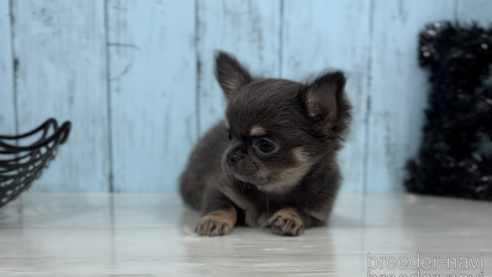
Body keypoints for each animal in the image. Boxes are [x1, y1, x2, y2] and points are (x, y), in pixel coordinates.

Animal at [179, 51, 352, 235]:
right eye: (229, 136)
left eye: (265, 145)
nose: (230, 156)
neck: (274, 190)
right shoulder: (218, 187)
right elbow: (222, 206)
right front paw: (214, 219)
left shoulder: (317, 211)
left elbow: (298, 208)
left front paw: (289, 217)